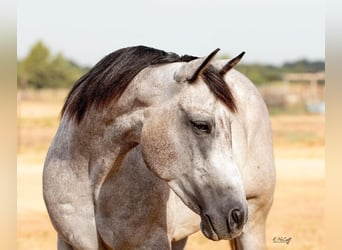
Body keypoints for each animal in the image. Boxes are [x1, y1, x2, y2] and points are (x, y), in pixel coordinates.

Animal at [42, 46, 276, 249]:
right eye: (201, 125)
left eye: (230, 124)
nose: (237, 215)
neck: (91, 182)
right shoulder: (68, 242)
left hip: (253, 223)